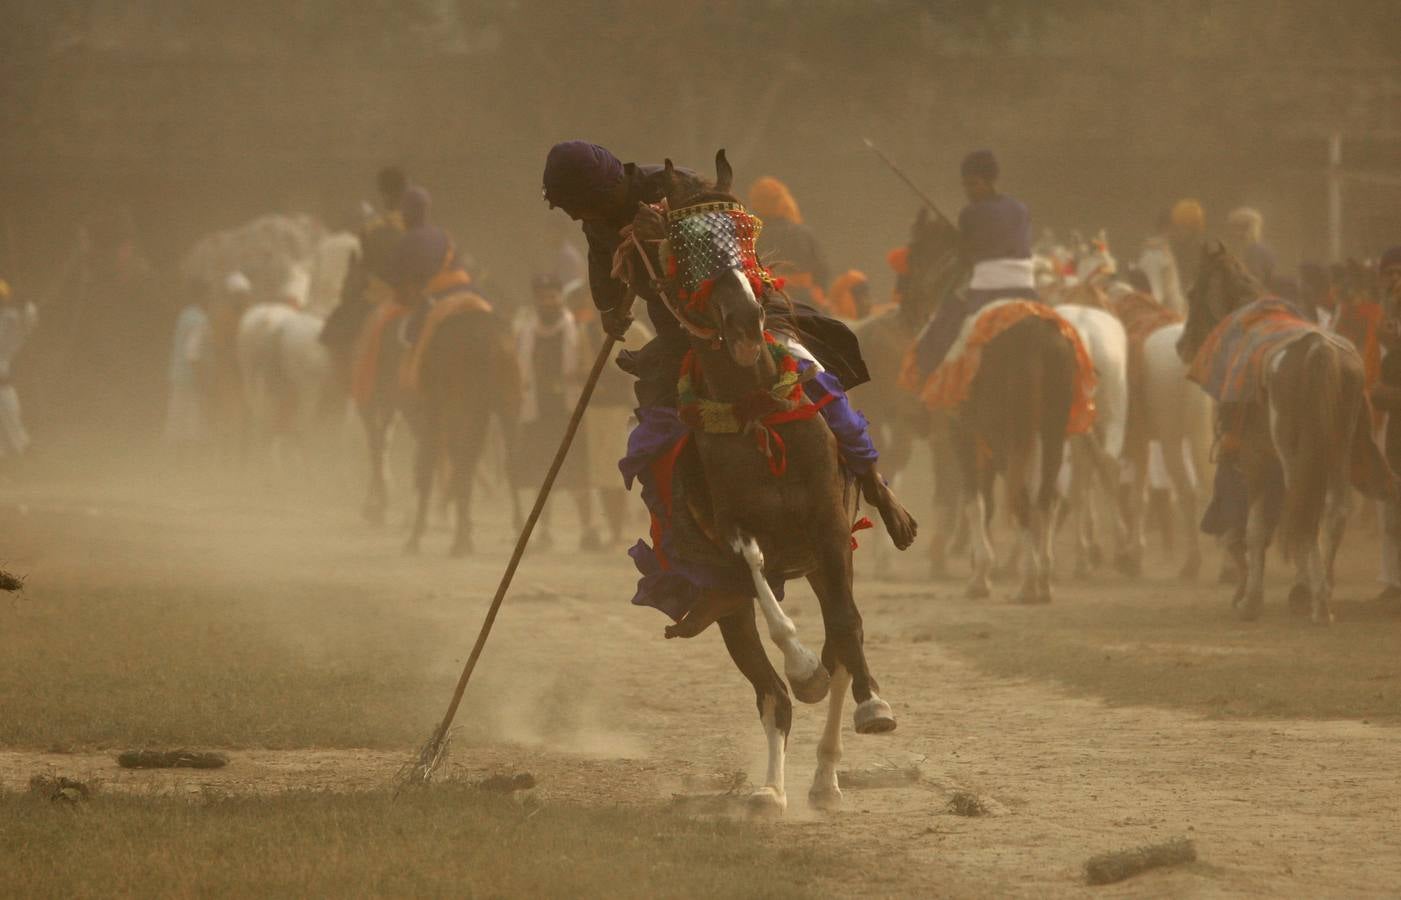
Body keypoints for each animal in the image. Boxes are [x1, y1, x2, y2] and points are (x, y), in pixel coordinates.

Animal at [902, 211, 1075, 602]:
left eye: (915, 251)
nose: (906, 305)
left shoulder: (963, 432)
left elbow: (974, 498)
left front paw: (980, 575)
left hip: (1010, 435)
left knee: (1023, 498)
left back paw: (1027, 581)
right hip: (1051, 432)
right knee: (1044, 497)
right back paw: (1042, 578)